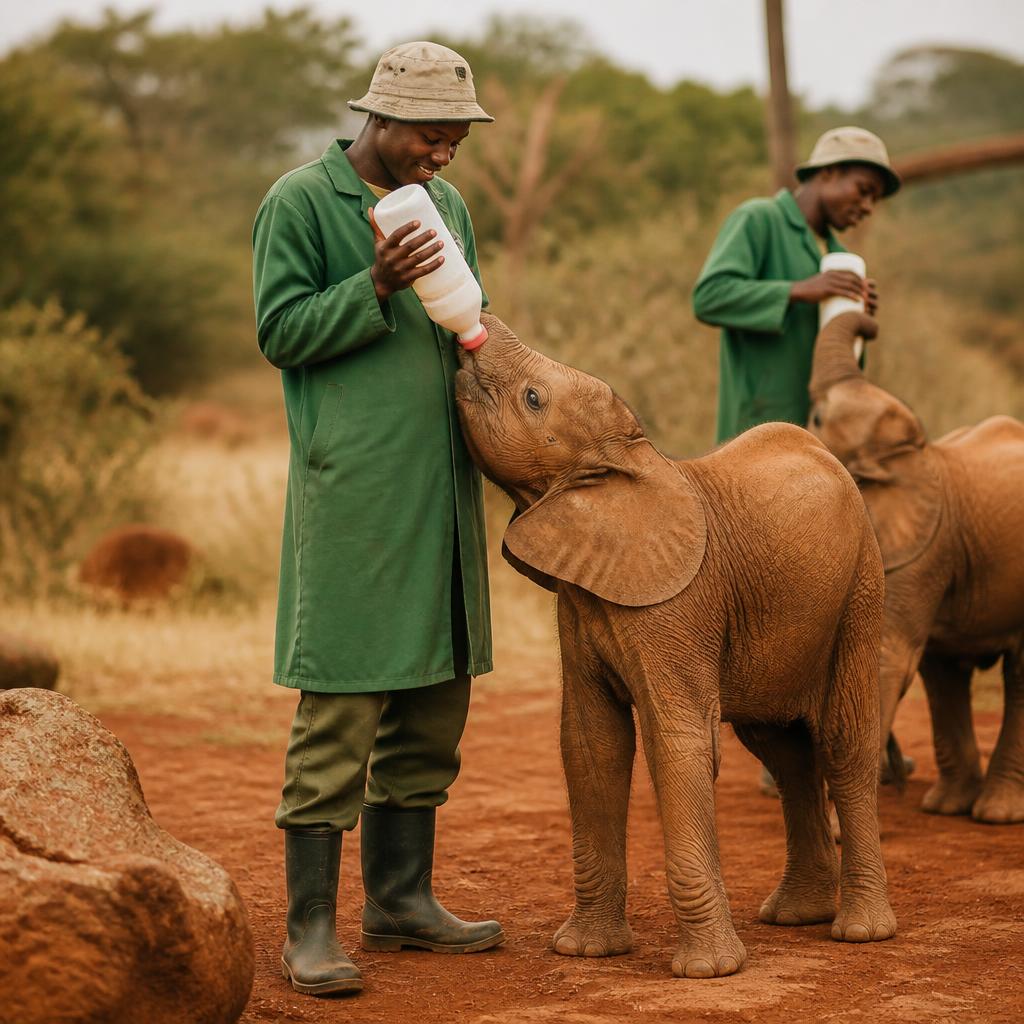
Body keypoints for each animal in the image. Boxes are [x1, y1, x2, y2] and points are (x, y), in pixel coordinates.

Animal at [454, 313, 896, 980]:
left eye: (533, 399)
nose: (470, 326)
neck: (635, 459)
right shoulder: (582, 605)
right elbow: (590, 745)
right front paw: (586, 950)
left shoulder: (678, 610)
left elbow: (675, 742)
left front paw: (708, 972)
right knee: (784, 752)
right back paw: (796, 916)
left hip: (860, 590)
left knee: (844, 744)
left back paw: (860, 932)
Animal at [807, 310, 1024, 823]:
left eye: (818, 418)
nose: (871, 318)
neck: (904, 455)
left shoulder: (920, 551)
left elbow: (884, 657)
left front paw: (840, 831)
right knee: (944, 673)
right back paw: (948, 806)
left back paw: (996, 814)